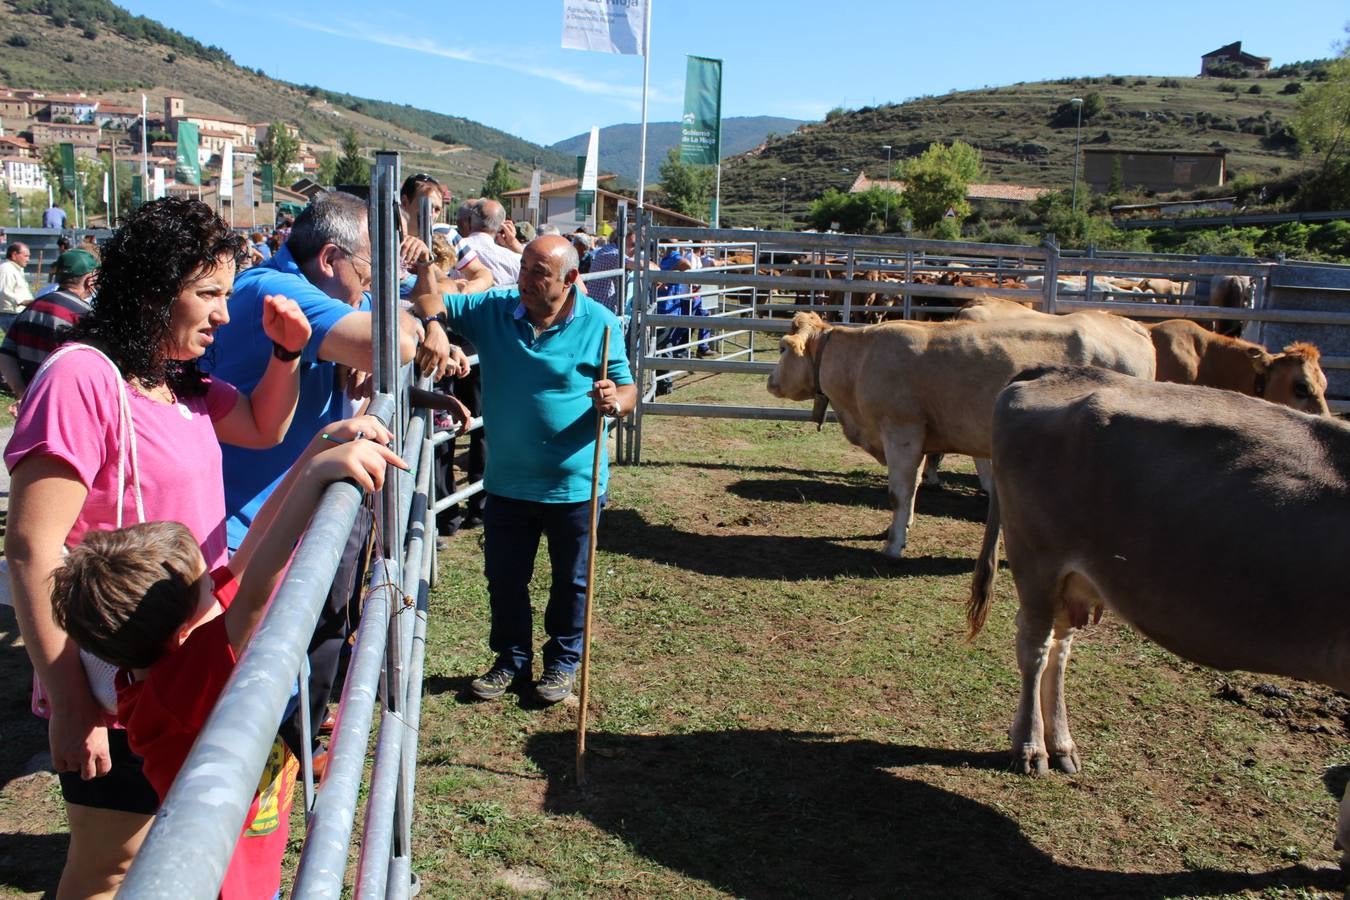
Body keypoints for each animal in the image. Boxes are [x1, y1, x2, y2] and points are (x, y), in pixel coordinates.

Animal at [766, 313, 1155, 558]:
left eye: (783, 347)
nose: (769, 380)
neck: (860, 360)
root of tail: (1130, 325)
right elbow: (914, 486)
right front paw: (901, 529)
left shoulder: (901, 429)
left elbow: (899, 491)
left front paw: (893, 546)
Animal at [966, 367, 1350, 863]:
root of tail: (1055, 370)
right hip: (1037, 560)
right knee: (1033, 648)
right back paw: (1031, 749)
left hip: (1072, 577)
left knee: (1058, 649)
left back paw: (1062, 745)